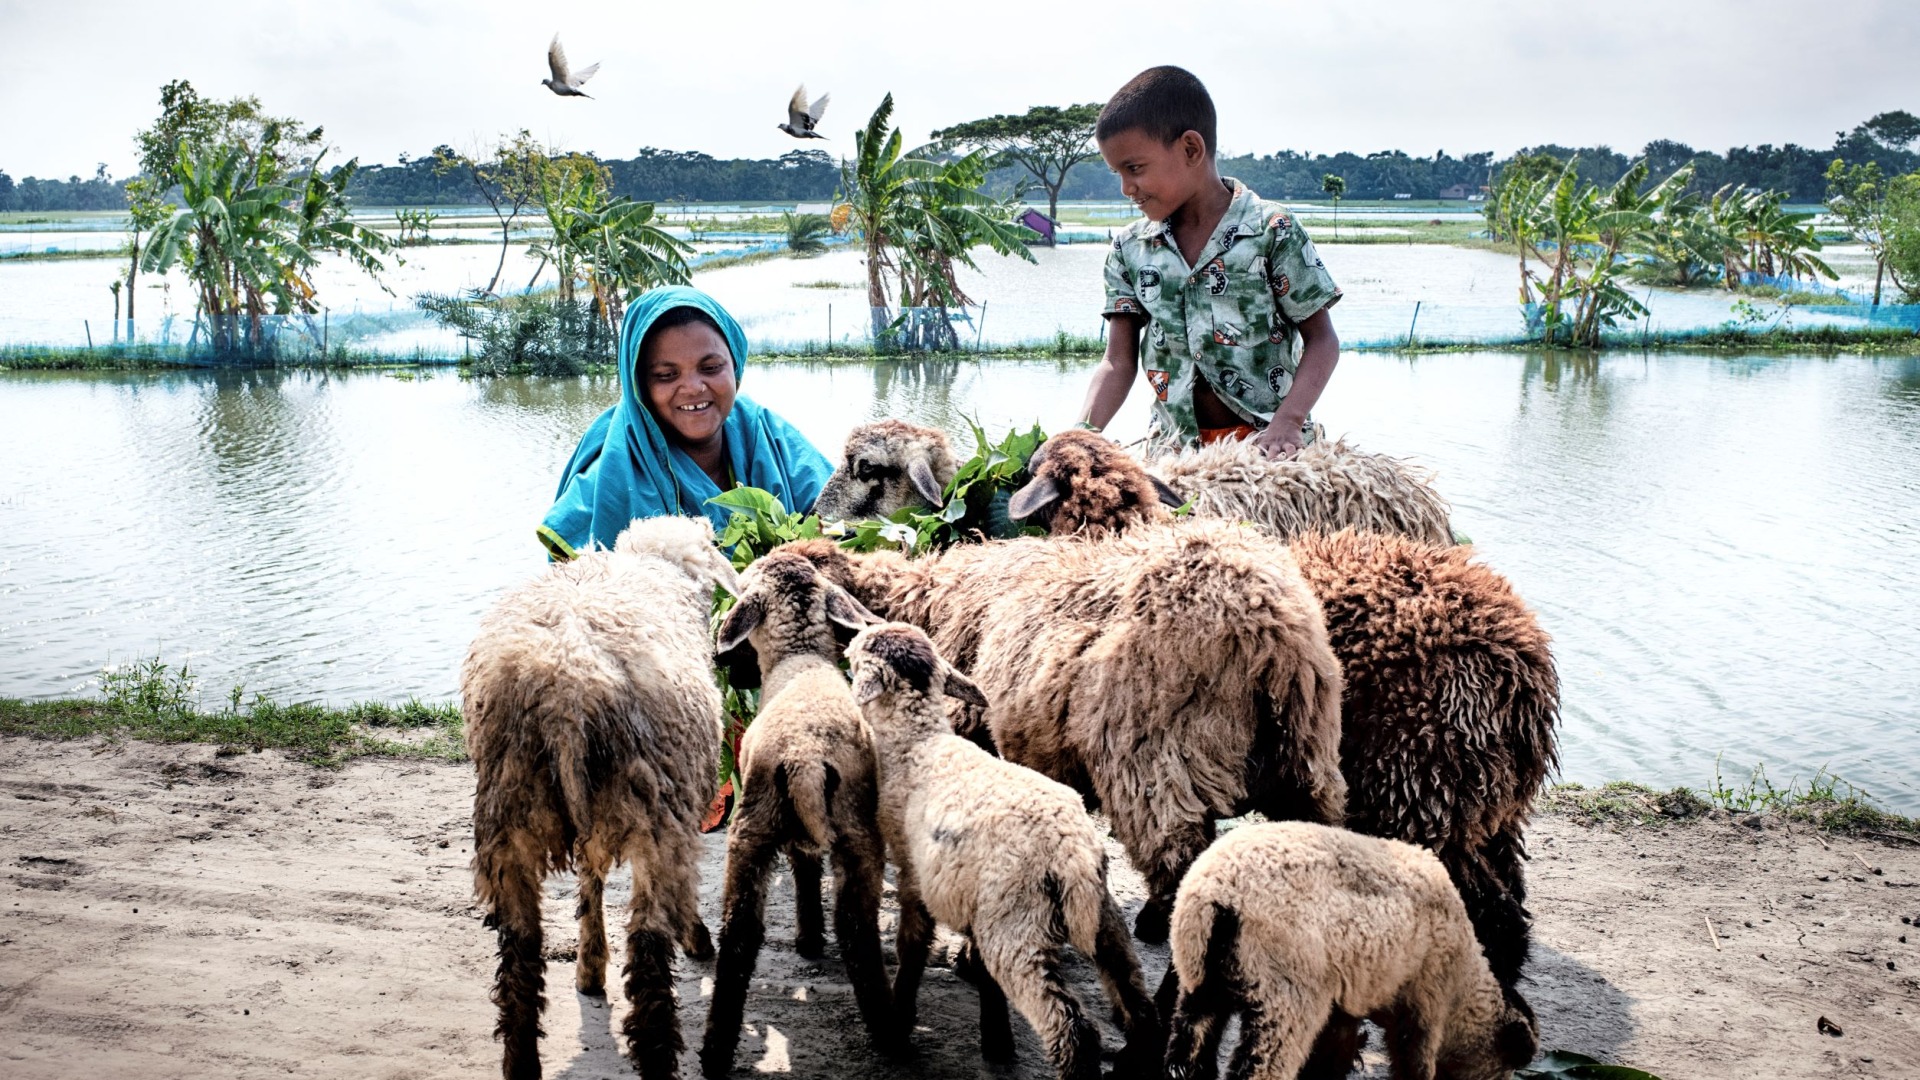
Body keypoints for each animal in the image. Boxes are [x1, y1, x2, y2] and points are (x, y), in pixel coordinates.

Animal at [462, 516, 738, 1080]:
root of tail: (566, 691)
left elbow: (589, 881)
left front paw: (589, 970)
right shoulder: (681, 810)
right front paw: (695, 935)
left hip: (508, 808)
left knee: (520, 949)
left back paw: (521, 1061)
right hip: (655, 811)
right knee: (648, 950)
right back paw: (658, 1060)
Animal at [699, 550, 893, 1077]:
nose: (721, 662)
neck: (799, 657)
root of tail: (806, 755)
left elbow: (804, 871)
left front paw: (807, 940)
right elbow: (808, 872)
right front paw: (809, 939)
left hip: (754, 825)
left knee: (742, 933)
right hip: (852, 827)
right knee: (853, 923)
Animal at [846, 621, 1163, 1080]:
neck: (918, 743)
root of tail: (1071, 852)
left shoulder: (913, 875)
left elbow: (912, 946)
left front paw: (899, 1023)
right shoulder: (972, 896)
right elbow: (981, 971)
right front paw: (996, 1038)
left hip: (1017, 924)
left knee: (1073, 1029)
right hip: (1102, 918)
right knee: (1141, 1008)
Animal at [1163, 822, 1537, 1080]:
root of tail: (1215, 898)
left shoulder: (1347, 998)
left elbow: (1335, 1052)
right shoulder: (1425, 1002)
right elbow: (1412, 1063)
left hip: (1200, 976)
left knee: (1188, 1043)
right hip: (1283, 994)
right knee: (1260, 1067)